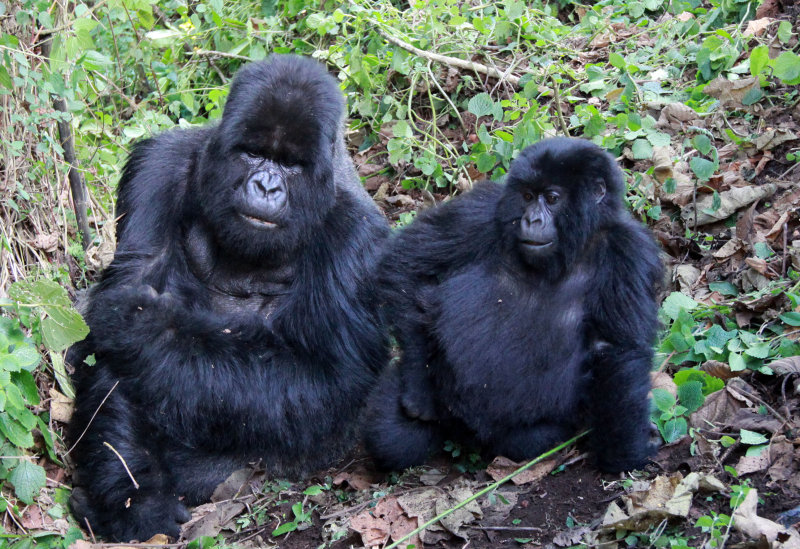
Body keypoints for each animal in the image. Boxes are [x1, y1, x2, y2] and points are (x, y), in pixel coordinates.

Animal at [70, 55, 390, 540]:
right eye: (254, 153)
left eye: (291, 164)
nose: (267, 186)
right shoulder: (157, 167)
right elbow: (116, 317)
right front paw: (135, 500)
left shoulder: (360, 245)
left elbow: (324, 379)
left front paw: (150, 333)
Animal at [366, 137, 660, 470]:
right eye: (528, 196)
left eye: (552, 198)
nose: (532, 219)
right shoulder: (482, 210)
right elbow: (405, 265)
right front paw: (419, 389)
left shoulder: (629, 251)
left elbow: (619, 350)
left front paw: (623, 452)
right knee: (392, 438)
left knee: (529, 439)